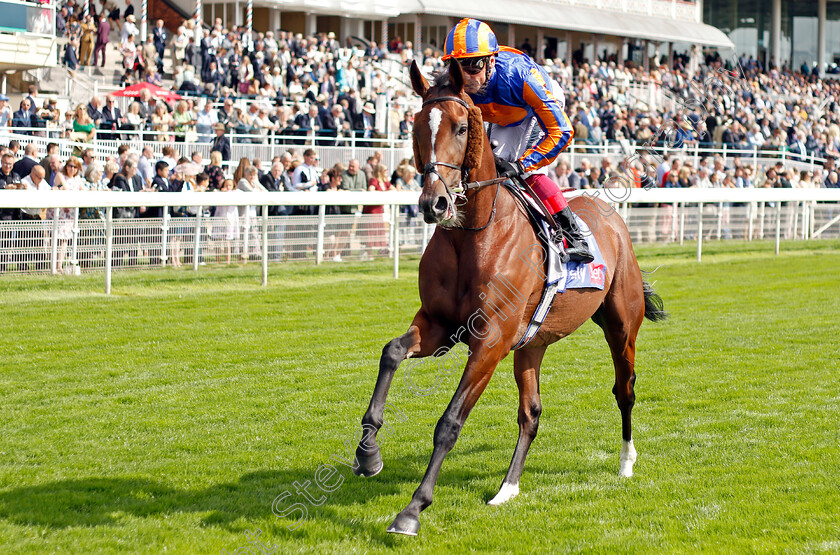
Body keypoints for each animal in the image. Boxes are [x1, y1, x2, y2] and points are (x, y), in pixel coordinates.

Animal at [352, 58, 668, 536]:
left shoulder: (490, 341)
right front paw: (368, 453)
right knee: (531, 413)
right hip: (531, 344)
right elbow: (391, 351)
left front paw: (412, 510)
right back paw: (508, 488)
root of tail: (611, 215)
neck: (473, 235)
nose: (434, 203)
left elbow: (449, 422)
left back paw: (627, 462)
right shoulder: (439, 327)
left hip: (620, 326)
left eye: (463, 126)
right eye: (416, 126)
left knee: (624, 389)